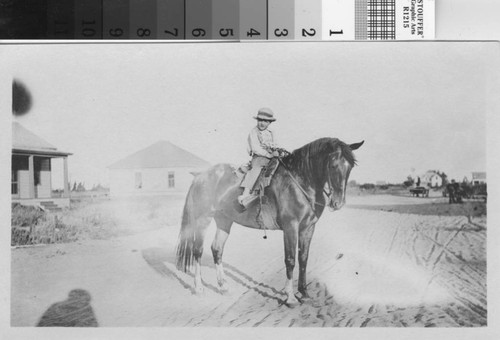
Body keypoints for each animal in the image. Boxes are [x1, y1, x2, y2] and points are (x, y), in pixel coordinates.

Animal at [176, 137, 364, 306]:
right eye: (333, 165)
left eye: (350, 167)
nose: (338, 203)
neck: (300, 181)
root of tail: (200, 176)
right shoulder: (290, 227)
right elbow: (290, 259)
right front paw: (290, 297)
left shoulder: (308, 228)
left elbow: (303, 258)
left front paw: (304, 293)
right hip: (203, 219)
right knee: (198, 251)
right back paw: (199, 288)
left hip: (224, 220)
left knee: (217, 249)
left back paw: (223, 287)